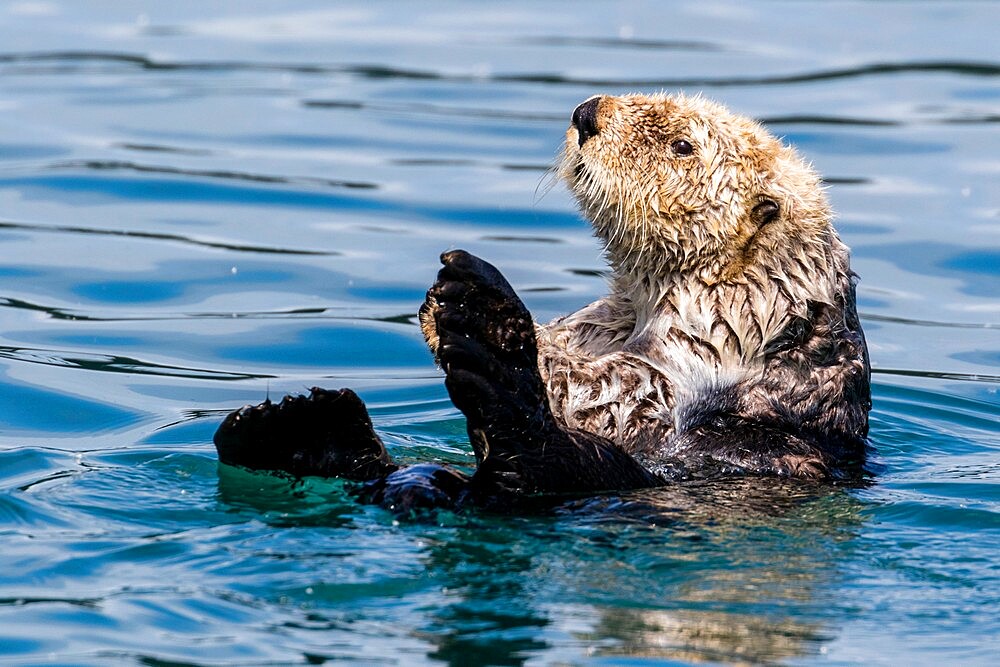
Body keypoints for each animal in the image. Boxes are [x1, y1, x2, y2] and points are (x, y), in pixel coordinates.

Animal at [215, 94, 872, 512]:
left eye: (683, 145)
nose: (586, 113)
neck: (641, 305)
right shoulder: (602, 320)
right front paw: (442, 307)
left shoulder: (711, 339)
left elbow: (610, 395)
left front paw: (470, 320)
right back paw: (293, 427)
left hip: (596, 474)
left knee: (534, 459)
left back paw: (483, 327)